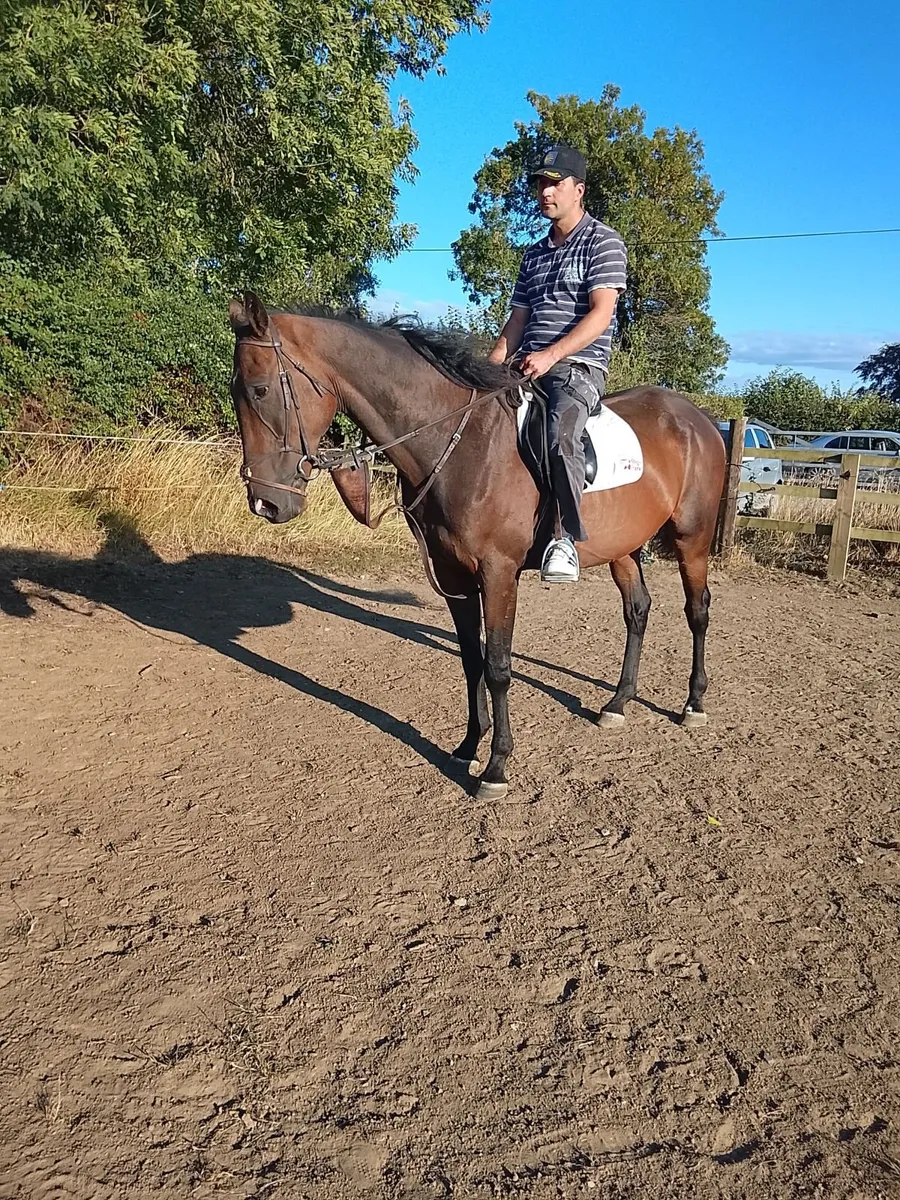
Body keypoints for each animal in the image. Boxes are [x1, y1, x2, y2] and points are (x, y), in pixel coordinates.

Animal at [228, 292, 726, 800]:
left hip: (692, 538)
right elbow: (471, 661)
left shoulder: (498, 572)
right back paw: (619, 702)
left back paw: (693, 704)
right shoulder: (455, 575)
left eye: (260, 390)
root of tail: (700, 419)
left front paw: (496, 768)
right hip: (622, 547)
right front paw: (468, 746)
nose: (265, 502)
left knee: (698, 611)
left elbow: (499, 666)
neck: (463, 442)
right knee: (638, 610)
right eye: (235, 391)